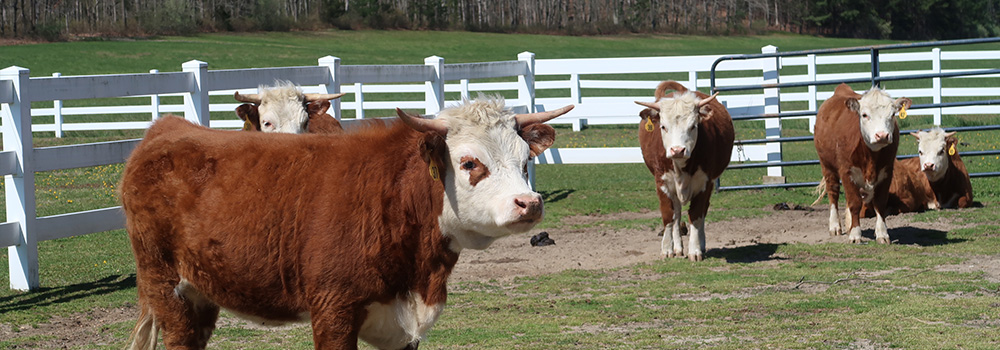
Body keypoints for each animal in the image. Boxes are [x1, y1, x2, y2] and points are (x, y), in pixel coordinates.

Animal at [119, 96, 572, 350]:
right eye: (469, 163)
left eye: (526, 160)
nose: (529, 203)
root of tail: (167, 129)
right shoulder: (333, 313)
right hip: (167, 287)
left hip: (200, 293)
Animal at [636, 80, 740, 260]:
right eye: (663, 126)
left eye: (693, 126)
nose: (677, 150)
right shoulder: (661, 182)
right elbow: (668, 215)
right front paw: (667, 249)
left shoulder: (704, 182)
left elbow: (697, 215)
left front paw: (696, 250)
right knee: (677, 214)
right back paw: (678, 247)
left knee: (703, 210)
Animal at [816, 83, 912, 245]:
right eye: (865, 115)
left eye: (892, 114)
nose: (882, 135)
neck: (871, 156)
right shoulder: (847, 172)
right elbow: (854, 203)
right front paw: (855, 235)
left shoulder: (886, 172)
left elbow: (880, 202)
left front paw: (882, 234)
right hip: (827, 166)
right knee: (833, 193)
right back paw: (835, 226)